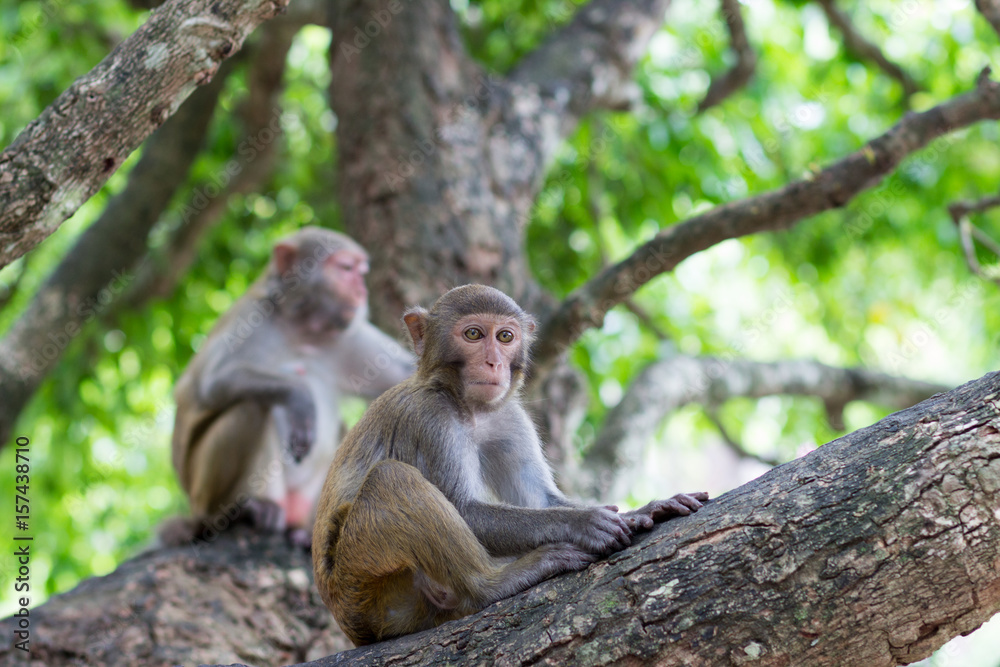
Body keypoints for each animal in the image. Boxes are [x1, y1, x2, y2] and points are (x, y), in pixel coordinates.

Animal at [168, 227, 414, 544]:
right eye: (346, 268)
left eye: (361, 272)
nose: (362, 290)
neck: (304, 330)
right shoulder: (253, 319)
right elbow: (211, 383)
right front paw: (299, 398)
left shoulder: (349, 334)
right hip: (202, 494)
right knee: (251, 407)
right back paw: (245, 509)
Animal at [308, 286, 708, 648]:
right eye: (473, 334)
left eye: (505, 336)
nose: (494, 363)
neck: (469, 407)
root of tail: (352, 626)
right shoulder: (429, 419)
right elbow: (464, 508)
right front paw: (585, 523)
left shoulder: (510, 417)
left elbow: (540, 501)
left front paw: (641, 510)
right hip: (362, 583)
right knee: (391, 478)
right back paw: (491, 585)